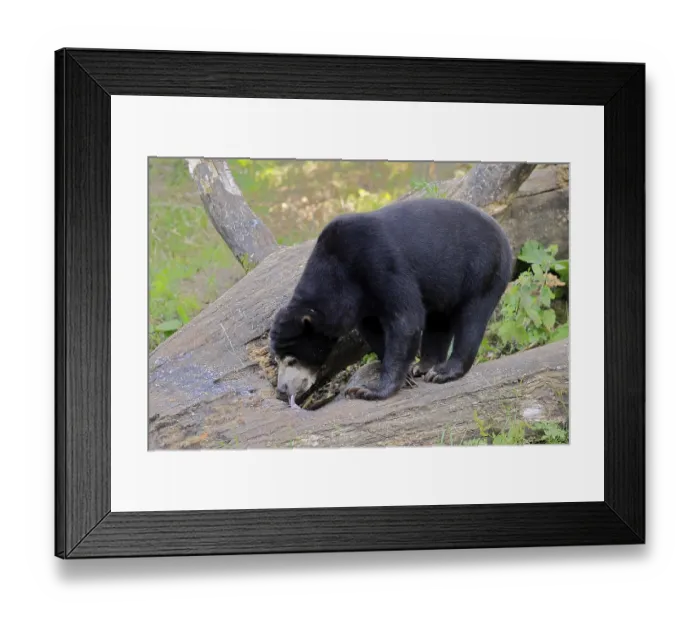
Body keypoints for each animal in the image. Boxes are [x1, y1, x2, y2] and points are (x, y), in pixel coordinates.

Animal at [269, 197, 513, 403]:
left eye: (291, 360)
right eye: (277, 359)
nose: (282, 390)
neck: (339, 272)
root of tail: (502, 232)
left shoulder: (380, 263)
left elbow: (406, 319)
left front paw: (369, 390)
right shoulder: (362, 301)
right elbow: (374, 330)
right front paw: (405, 377)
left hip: (482, 269)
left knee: (471, 318)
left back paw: (443, 372)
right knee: (439, 320)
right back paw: (424, 367)